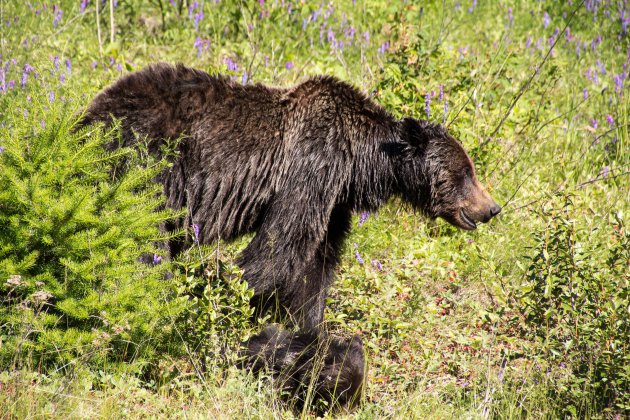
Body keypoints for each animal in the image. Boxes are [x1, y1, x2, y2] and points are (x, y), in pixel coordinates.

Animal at [80, 62, 504, 410]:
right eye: (466, 172)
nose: (492, 208)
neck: (358, 163)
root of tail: (89, 114)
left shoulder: (333, 203)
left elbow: (315, 269)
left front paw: (309, 332)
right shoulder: (310, 169)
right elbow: (276, 251)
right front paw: (235, 319)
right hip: (141, 166)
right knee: (143, 251)